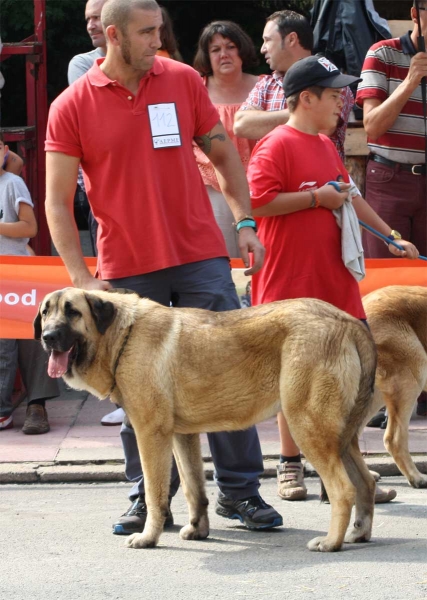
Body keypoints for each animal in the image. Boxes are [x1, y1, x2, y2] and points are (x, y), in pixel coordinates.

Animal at [36, 288, 378, 552]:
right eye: (45, 312)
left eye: (73, 312)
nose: (47, 337)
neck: (123, 334)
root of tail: (346, 321)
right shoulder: (181, 436)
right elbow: (193, 488)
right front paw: (198, 529)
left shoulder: (151, 434)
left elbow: (155, 492)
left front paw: (149, 537)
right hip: (340, 437)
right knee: (365, 483)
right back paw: (358, 533)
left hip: (308, 427)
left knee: (343, 490)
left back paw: (331, 542)